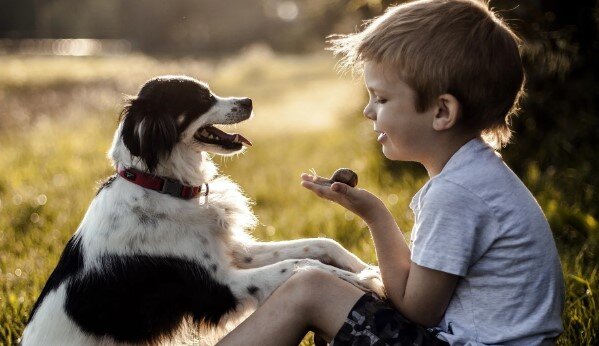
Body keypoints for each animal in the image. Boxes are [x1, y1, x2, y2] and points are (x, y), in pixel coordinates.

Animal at [22, 76, 384, 346]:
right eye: (201, 98)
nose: (249, 101)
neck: (162, 186)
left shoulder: (234, 253)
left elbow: (318, 244)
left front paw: (368, 267)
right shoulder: (217, 285)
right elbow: (303, 268)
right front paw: (362, 280)